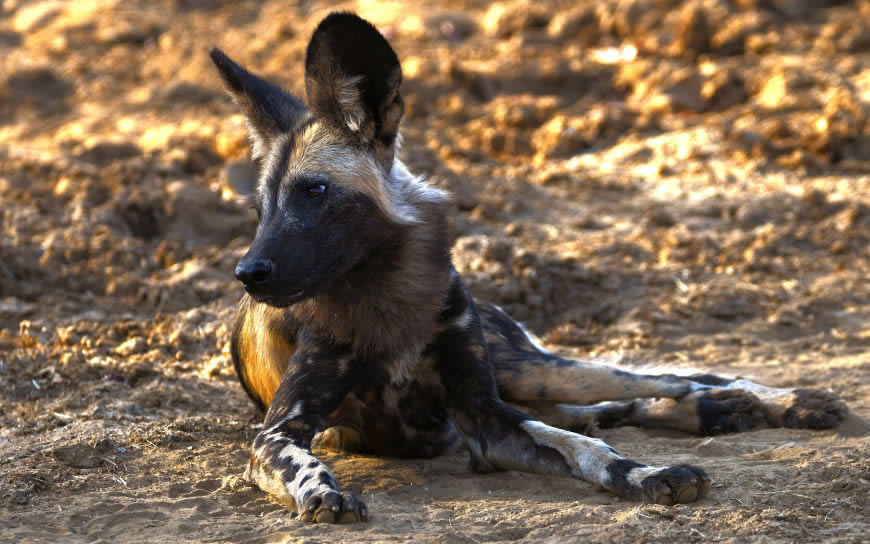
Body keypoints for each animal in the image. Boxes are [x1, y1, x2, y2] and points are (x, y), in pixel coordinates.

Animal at [211, 11, 852, 524]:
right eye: (261, 209)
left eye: (314, 192)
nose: (248, 273)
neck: (391, 296)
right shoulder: (279, 433)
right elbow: (302, 461)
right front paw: (321, 492)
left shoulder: (486, 414)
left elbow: (587, 449)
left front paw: (648, 475)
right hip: (532, 377)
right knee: (611, 406)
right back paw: (716, 413)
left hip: (532, 368)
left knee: (670, 379)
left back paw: (775, 402)